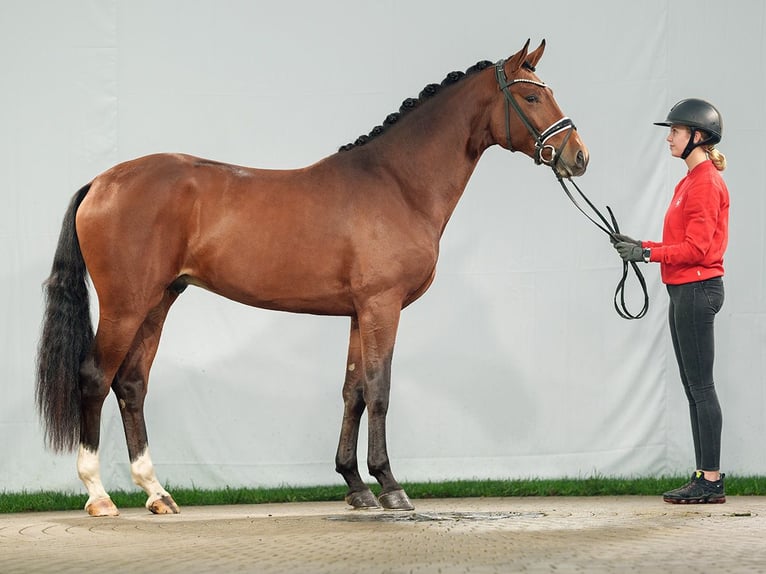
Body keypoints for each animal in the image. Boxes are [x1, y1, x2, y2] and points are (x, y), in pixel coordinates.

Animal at [36, 39, 592, 516]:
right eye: (531, 95)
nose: (578, 156)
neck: (396, 182)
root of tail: (102, 182)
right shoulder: (382, 306)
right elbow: (379, 389)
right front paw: (390, 486)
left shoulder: (359, 312)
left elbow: (353, 392)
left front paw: (355, 486)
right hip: (126, 305)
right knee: (95, 377)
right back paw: (99, 495)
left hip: (159, 301)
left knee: (131, 384)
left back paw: (157, 493)